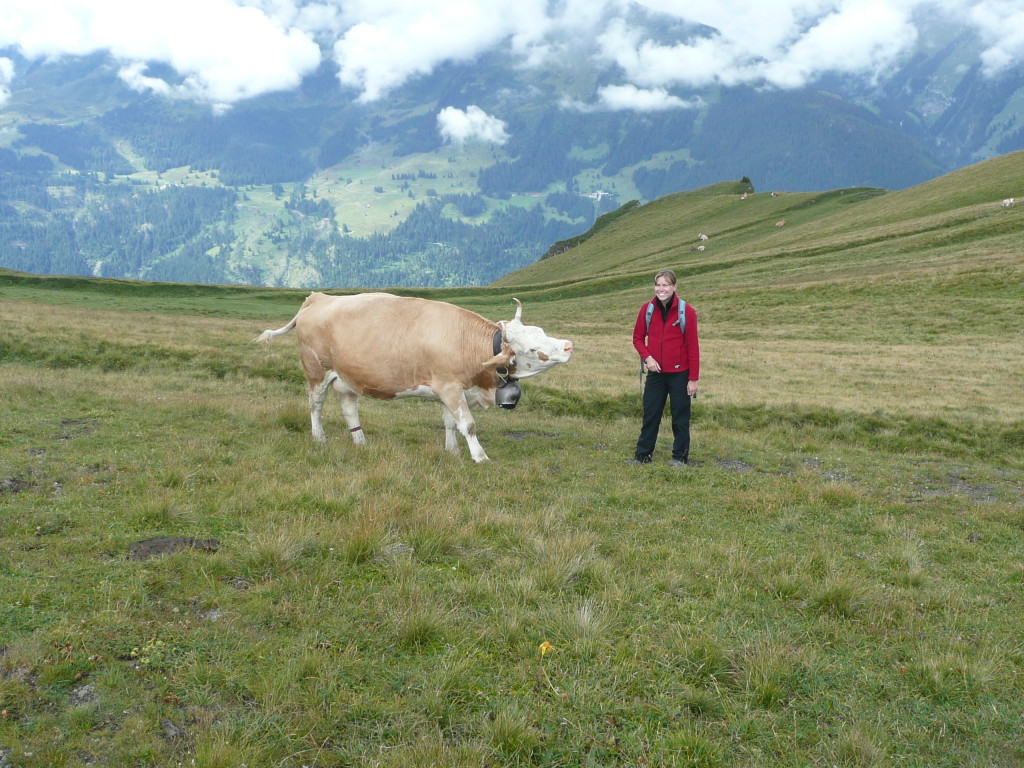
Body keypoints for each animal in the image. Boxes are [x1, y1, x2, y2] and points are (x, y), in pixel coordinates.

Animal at [255, 292, 574, 462]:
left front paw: (452, 451)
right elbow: (468, 424)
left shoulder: (449, 389)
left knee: (348, 407)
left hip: (345, 377)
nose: (569, 345)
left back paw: (360, 441)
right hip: (317, 371)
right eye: (531, 348)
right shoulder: (450, 387)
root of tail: (317, 298)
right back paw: (319, 437)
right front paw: (479, 456)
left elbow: (450, 422)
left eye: (541, 331)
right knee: (315, 405)